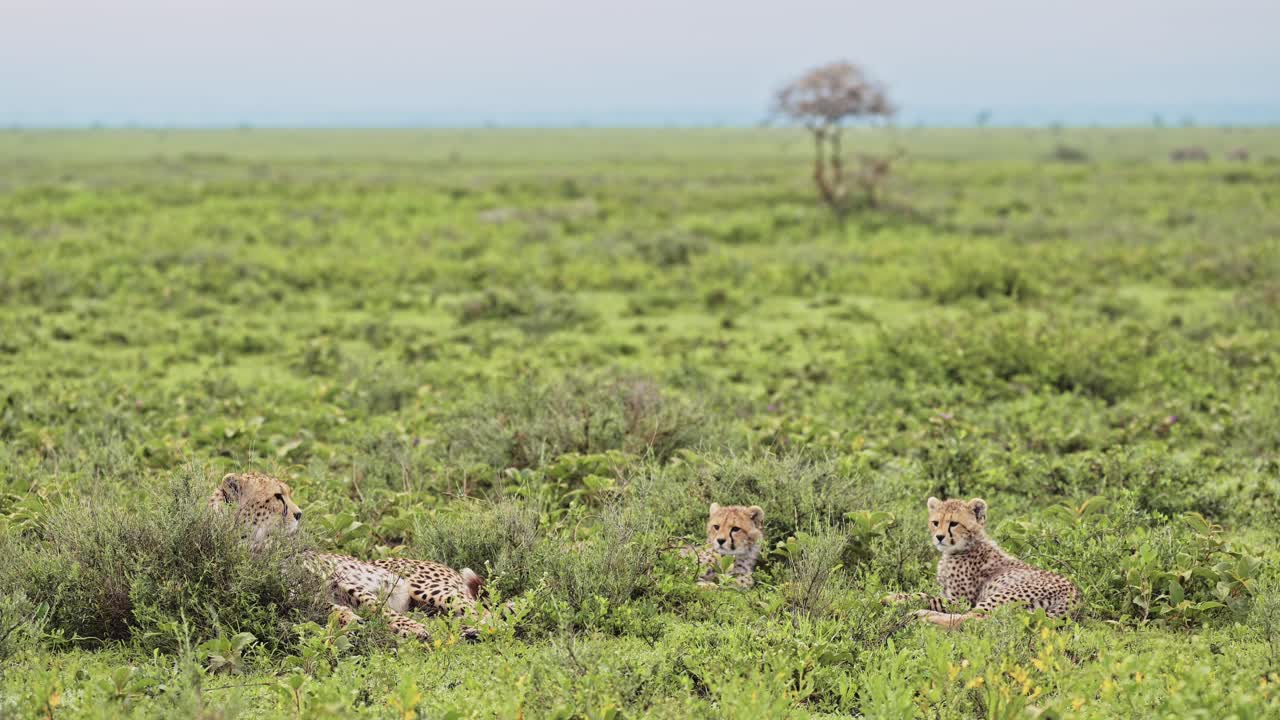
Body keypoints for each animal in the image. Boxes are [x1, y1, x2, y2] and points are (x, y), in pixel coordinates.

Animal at [209, 472, 484, 641]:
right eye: (277, 497)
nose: (299, 514)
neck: (254, 547)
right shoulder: (288, 596)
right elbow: (327, 608)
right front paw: (348, 618)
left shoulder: (338, 579)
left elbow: (375, 605)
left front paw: (410, 627)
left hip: (430, 590)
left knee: (484, 612)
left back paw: (475, 630)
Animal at [883, 497, 1081, 628]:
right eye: (935, 522)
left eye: (953, 523)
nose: (939, 537)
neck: (964, 547)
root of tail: (1076, 596)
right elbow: (923, 594)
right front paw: (893, 597)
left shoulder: (961, 601)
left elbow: (928, 598)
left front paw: (895, 600)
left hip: (1002, 595)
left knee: (973, 619)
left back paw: (922, 616)